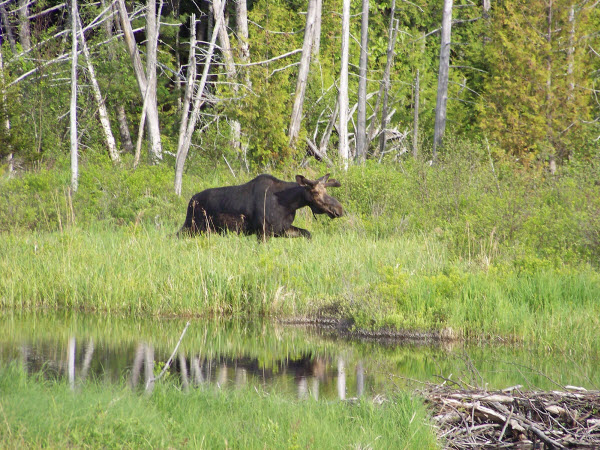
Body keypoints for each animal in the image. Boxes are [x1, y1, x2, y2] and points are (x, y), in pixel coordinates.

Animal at [178, 172, 344, 239]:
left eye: (326, 190)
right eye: (315, 192)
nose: (339, 209)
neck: (290, 204)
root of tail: (190, 202)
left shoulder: (281, 230)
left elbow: (307, 234)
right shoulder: (264, 232)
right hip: (192, 226)